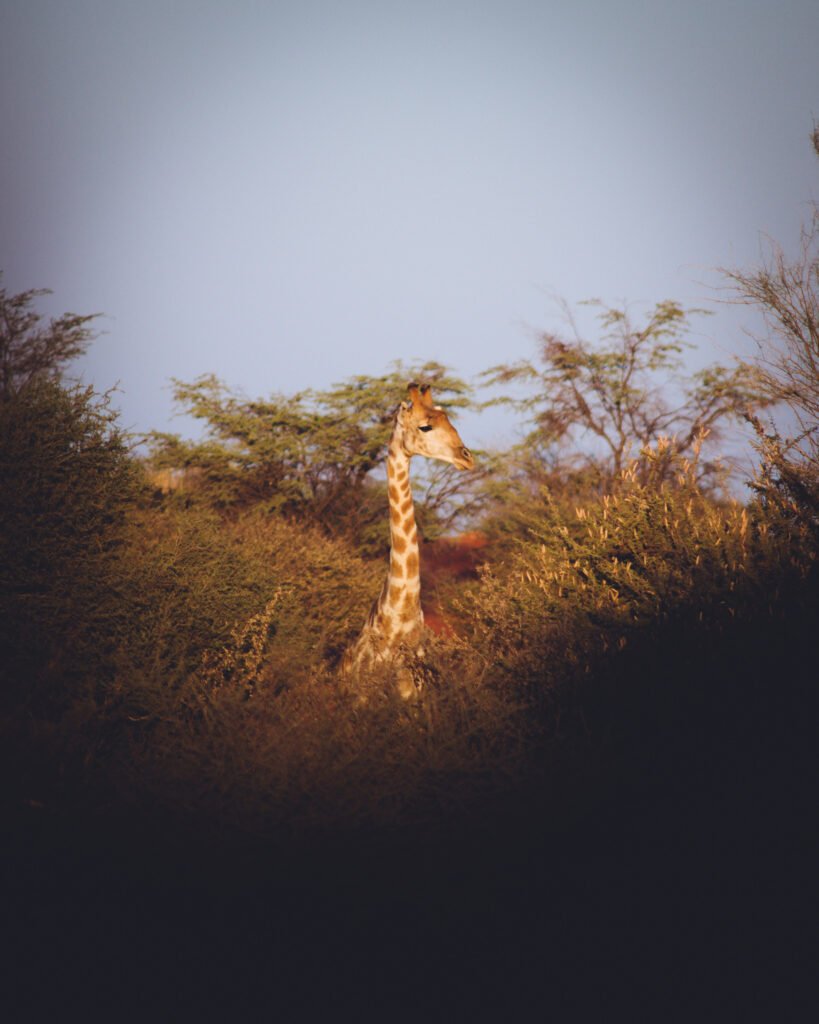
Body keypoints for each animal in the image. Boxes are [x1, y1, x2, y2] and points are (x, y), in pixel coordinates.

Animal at [341, 382, 474, 698]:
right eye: (425, 426)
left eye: (450, 420)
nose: (467, 457)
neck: (399, 619)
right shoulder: (363, 697)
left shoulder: (415, 693)